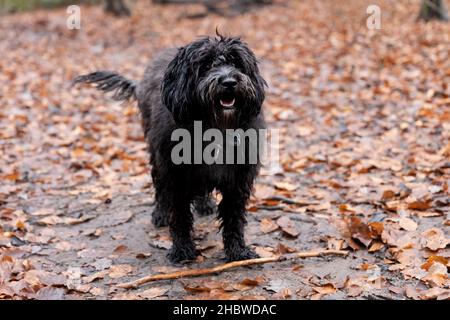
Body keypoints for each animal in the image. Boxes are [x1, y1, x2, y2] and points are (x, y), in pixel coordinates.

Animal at [73, 35, 268, 262]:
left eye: (236, 63)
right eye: (206, 65)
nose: (229, 81)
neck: (215, 127)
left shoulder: (238, 179)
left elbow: (234, 217)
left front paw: (238, 251)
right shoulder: (176, 175)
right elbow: (180, 214)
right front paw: (182, 250)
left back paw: (204, 205)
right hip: (156, 155)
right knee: (159, 186)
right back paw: (161, 214)